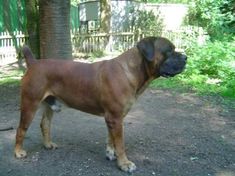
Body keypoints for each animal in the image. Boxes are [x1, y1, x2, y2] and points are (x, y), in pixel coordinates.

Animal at [15, 36, 187, 172]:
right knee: (21, 129)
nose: (185, 57)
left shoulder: (113, 118)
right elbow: (120, 143)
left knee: (44, 124)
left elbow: (111, 138)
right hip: (30, 103)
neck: (132, 70)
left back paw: (48, 144)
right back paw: (18, 152)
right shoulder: (115, 118)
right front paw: (124, 163)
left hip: (49, 104)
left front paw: (110, 153)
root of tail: (34, 63)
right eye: (169, 51)